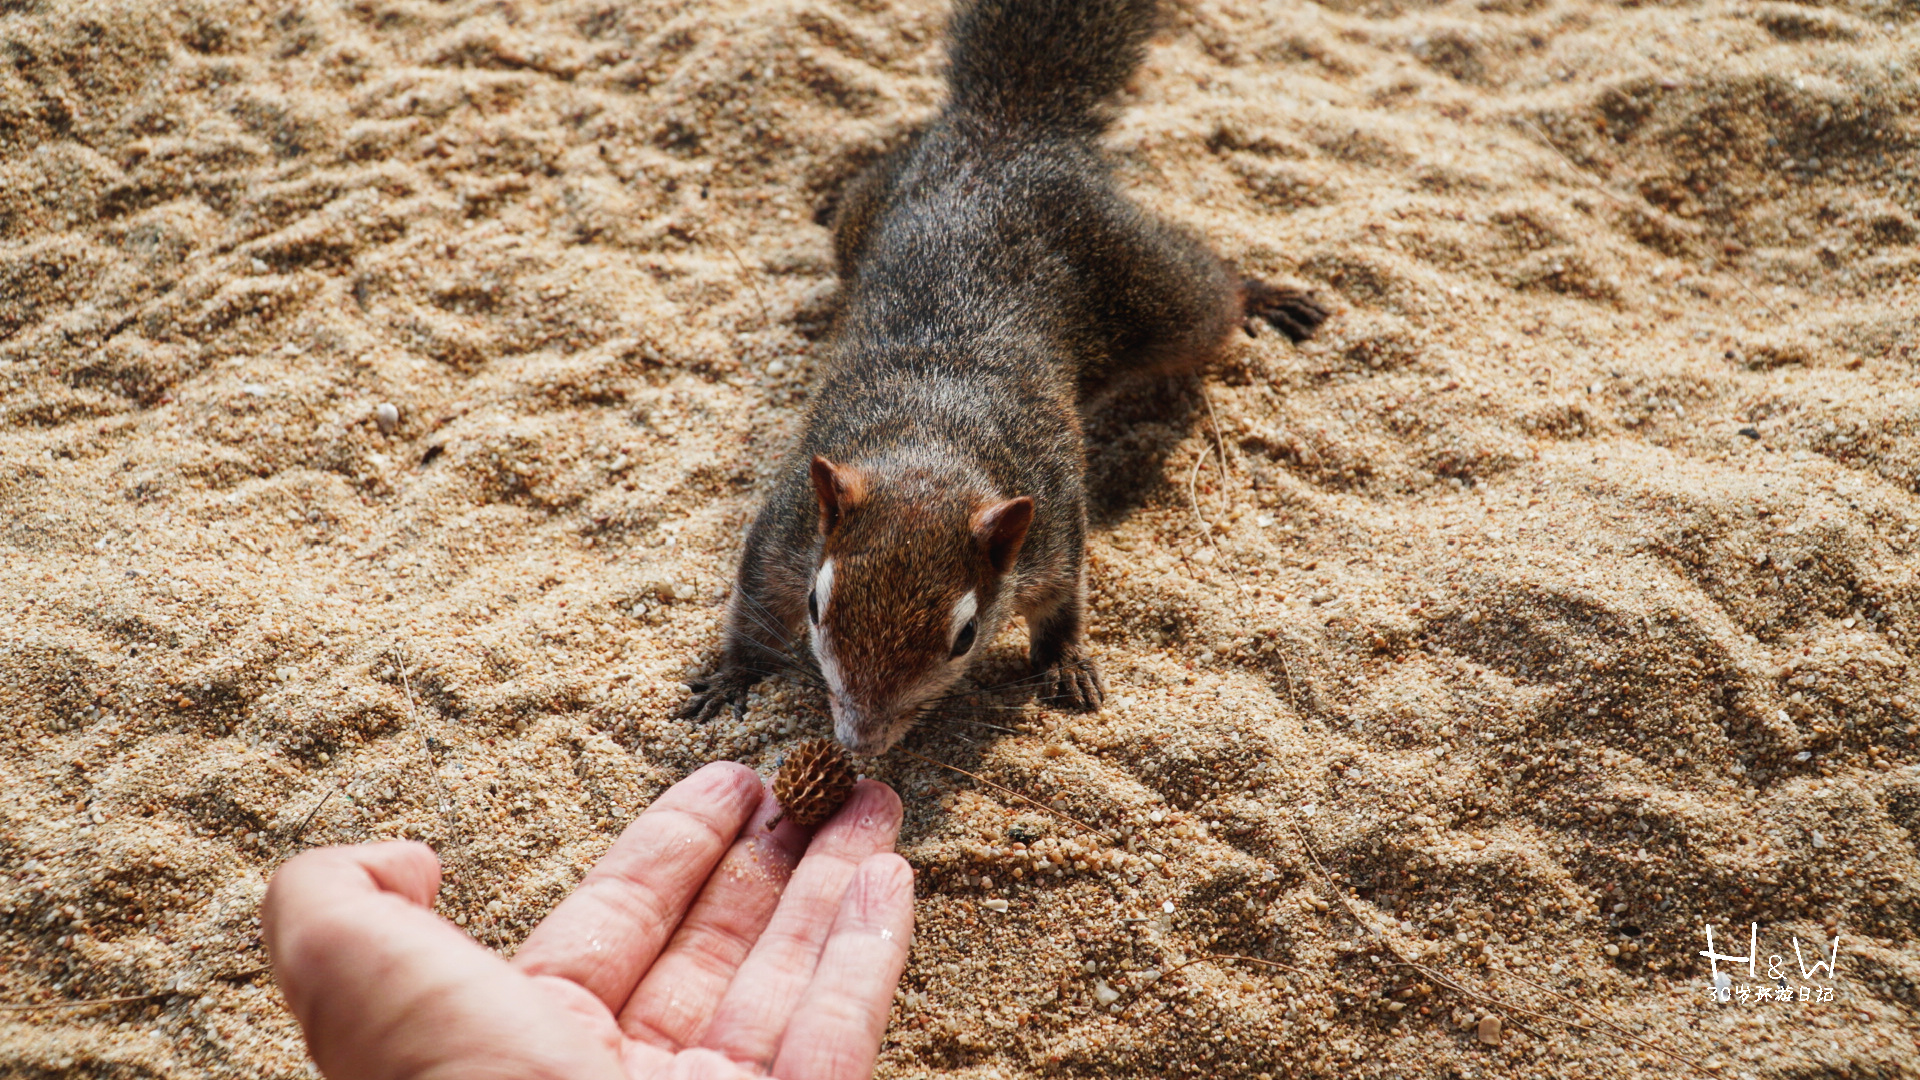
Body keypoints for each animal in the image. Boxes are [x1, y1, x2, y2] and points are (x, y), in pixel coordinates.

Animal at [683, 0, 1328, 749]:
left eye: (965, 636)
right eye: (816, 606)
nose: (859, 740)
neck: (930, 446)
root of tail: (1006, 132)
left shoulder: (1053, 527)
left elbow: (1066, 603)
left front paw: (1067, 661)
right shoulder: (789, 526)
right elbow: (754, 604)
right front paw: (734, 672)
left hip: (1156, 287)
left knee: (1215, 291)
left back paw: (1265, 295)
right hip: (867, 213)